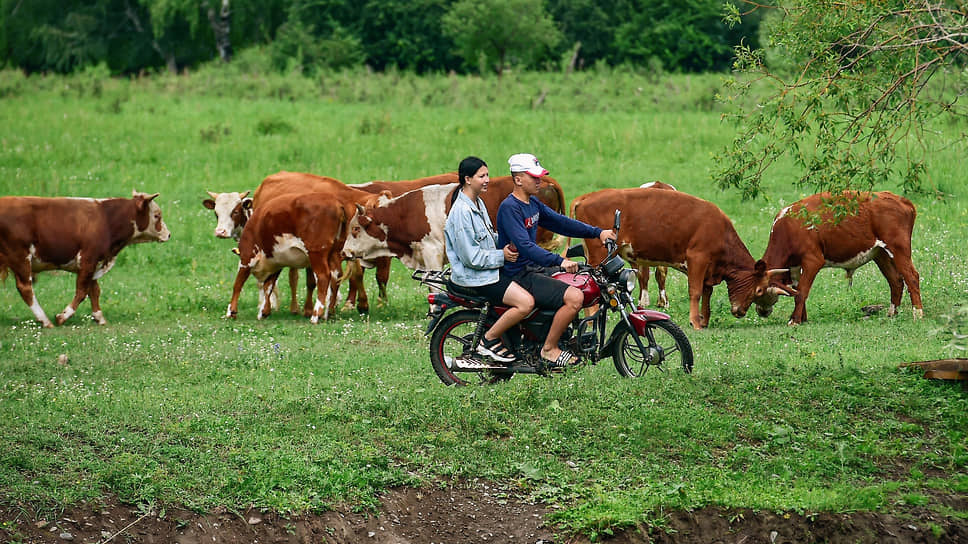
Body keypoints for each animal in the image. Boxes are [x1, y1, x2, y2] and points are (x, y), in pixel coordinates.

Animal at [0, 191, 172, 328]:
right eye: (157, 215)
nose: (169, 234)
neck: (107, 218)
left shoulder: (95, 263)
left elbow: (94, 290)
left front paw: (99, 317)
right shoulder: (88, 259)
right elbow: (82, 291)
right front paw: (63, 316)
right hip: (20, 257)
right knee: (25, 288)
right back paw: (45, 320)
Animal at [572, 187, 792, 332]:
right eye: (759, 290)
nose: (741, 312)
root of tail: (587, 197)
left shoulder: (708, 269)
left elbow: (707, 292)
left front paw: (704, 319)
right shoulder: (697, 259)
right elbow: (695, 292)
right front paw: (695, 322)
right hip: (599, 255)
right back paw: (590, 322)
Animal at [756, 191, 924, 326]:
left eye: (758, 292)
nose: (761, 312)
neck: (790, 226)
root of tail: (900, 199)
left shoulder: (813, 261)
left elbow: (802, 291)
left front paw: (794, 320)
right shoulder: (795, 267)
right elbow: (797, 290)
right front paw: (802, 318)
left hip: (899, 249)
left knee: (912, 277)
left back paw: (918, 314)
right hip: (880, 253)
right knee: (896, 281)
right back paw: (892, 314)